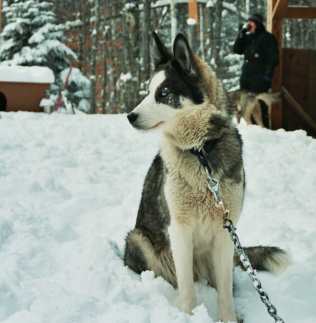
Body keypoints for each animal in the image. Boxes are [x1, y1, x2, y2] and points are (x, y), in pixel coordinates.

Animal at [124, 33, 288, 323]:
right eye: (148, 91)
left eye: (163, 93)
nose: (130, 116)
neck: (200, 152)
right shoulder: (180, 229)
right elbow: (188, 290)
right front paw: (189, 316)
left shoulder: (225, 231)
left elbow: (225, 294)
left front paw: (229, 319)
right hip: (139, 239)